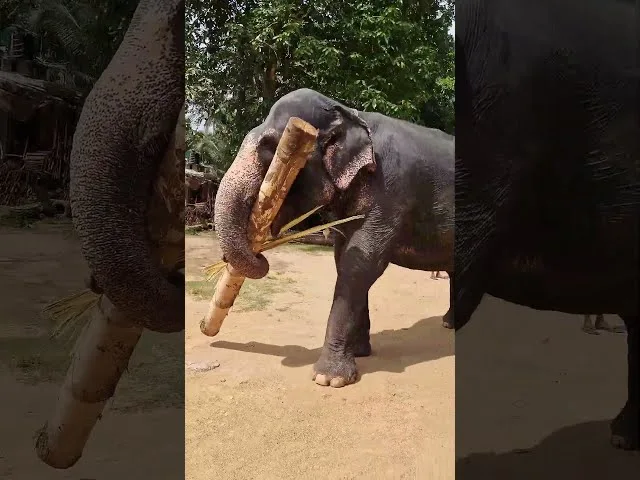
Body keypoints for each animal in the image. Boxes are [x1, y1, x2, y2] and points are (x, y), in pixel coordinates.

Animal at [214, 88, 454, 388]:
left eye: (272, 148)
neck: (352, 113)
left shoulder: (392, 190)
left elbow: (362, 262)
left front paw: (328, 378)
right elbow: (343, 257)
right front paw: (360, 353)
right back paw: (451, 324)